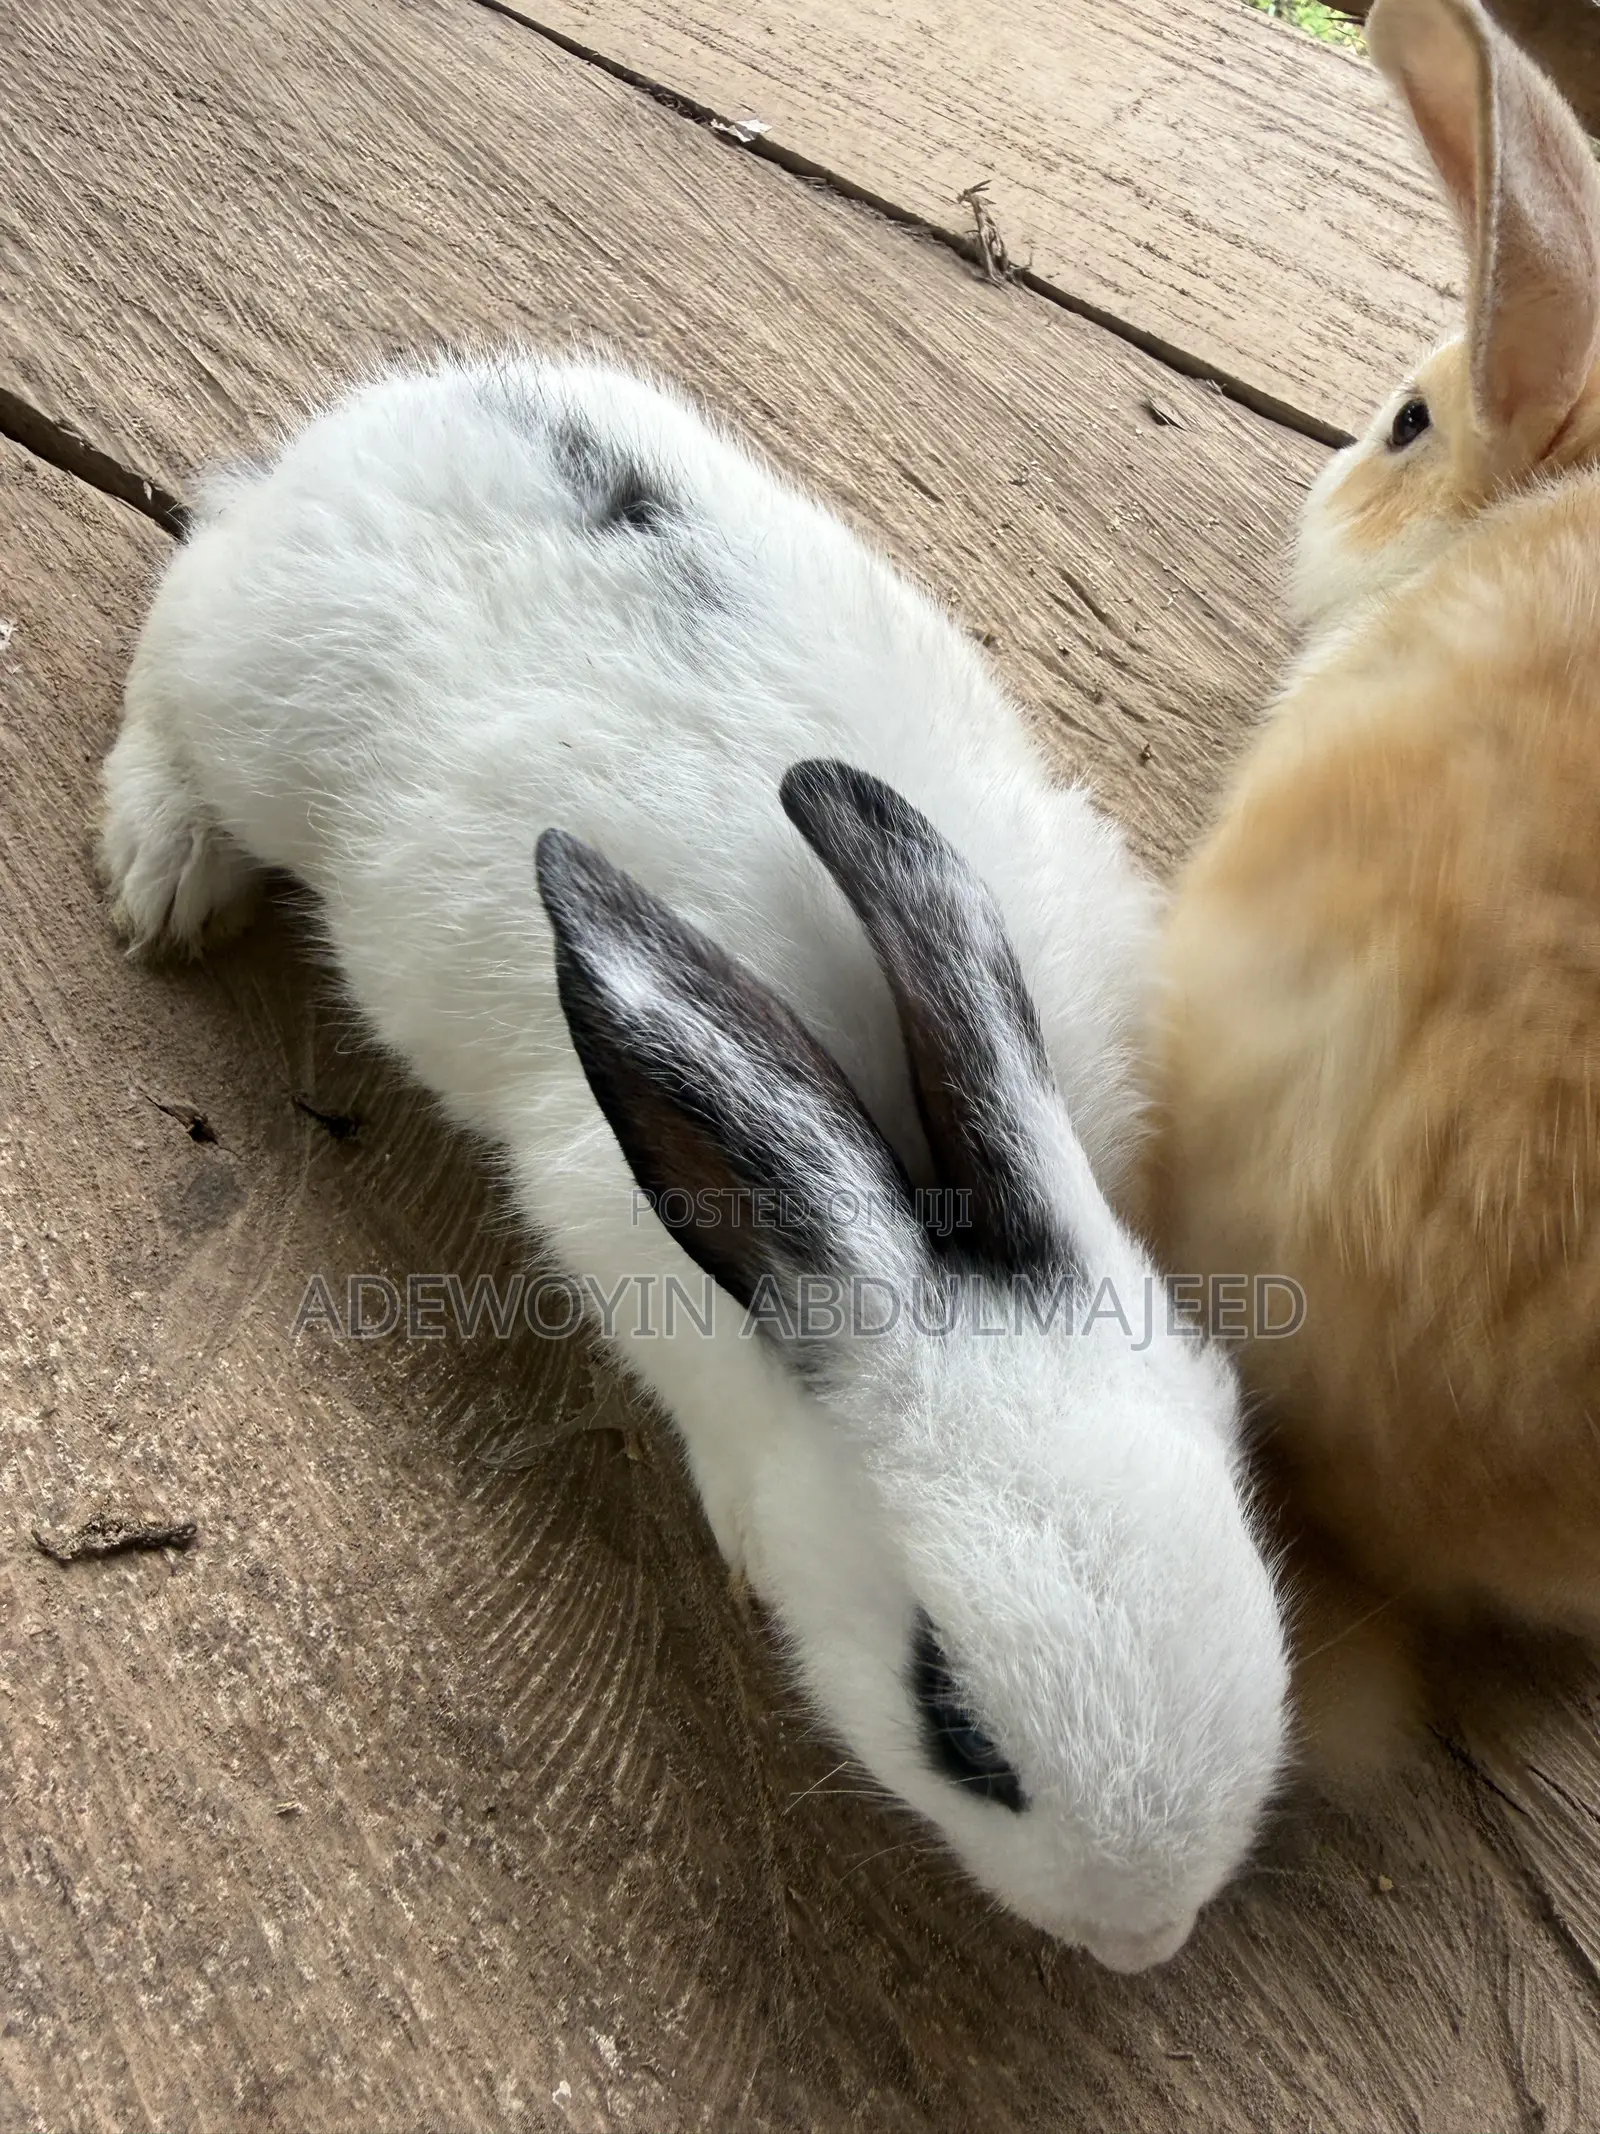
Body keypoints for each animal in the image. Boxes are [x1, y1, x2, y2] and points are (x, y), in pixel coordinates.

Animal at [99, 351, 1288, 1971]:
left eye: (1243, 1513)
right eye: (953, 1718)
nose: (1144, 1936)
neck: (906, 1194)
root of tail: (369, 434)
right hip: (240, 688)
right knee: (171, 649)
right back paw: (161, 869)